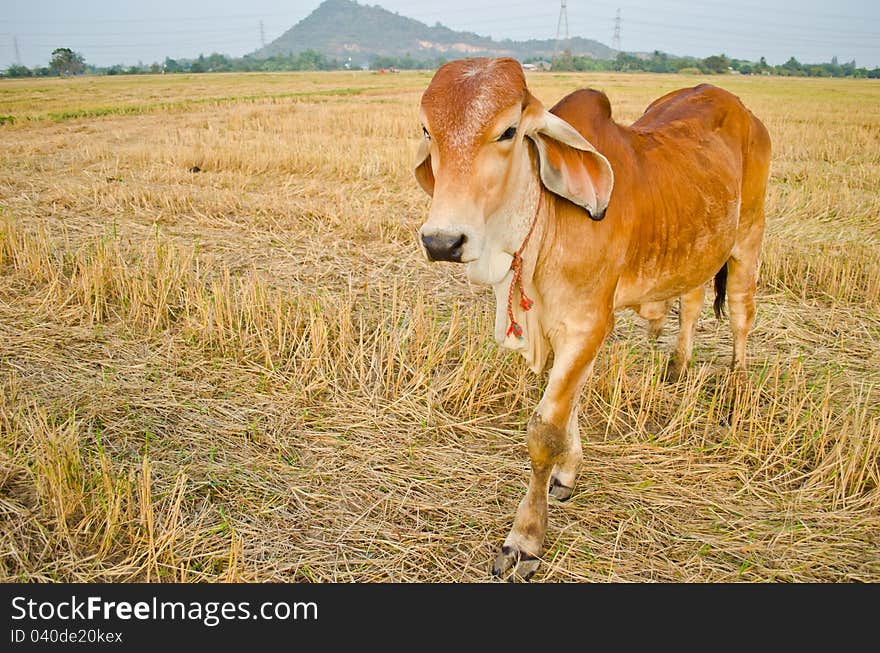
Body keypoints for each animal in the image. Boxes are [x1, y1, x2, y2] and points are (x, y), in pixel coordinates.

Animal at [412, 54, 768, 576]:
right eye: (428, 129)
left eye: (508, 131)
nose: (442, 241)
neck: (546, 224)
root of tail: (740, 106)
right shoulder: (565, 328)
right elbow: (569, 406)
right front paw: (567, 473)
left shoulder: (586, 325)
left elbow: (545, 429)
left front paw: (525, 539)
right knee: (692, 301)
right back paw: (678, 366)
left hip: (749, 236)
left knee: (742, 311)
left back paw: (737, 384)